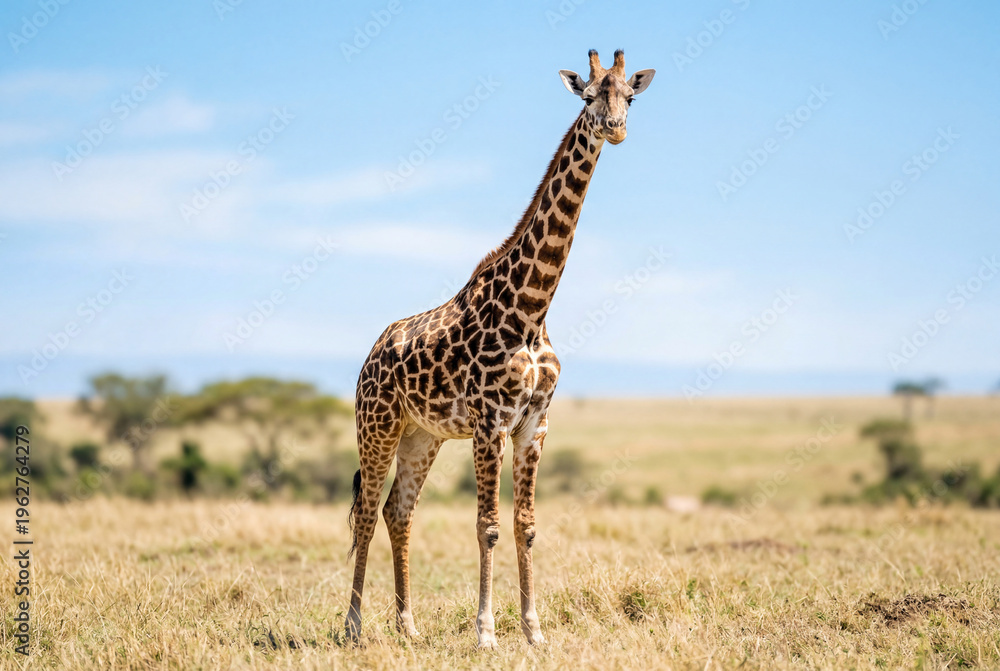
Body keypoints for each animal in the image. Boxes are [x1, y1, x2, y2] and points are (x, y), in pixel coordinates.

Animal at [344, 49, 655, 648]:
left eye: (630, 95)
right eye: (588, 96)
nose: (615, 128)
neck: (532, 309)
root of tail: (369, 357)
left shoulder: (534, 422)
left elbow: (525, 525)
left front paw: (534, 631)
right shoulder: (490, 421)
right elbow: (487, 526)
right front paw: (486, 633)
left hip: (422, 436)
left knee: (398, 510)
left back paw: (407, 626)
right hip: (378, 425)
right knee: (367, 511)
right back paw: (352, 628)